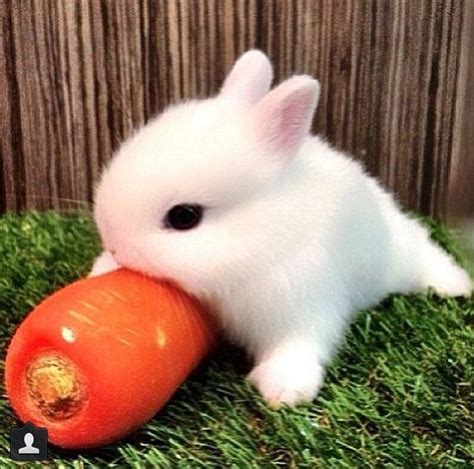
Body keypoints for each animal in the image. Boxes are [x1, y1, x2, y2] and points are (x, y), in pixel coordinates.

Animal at [90, 49, 472, 404]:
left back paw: (456, 285)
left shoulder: (302, 302)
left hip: (405, 257)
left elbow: (301, 342)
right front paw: (101, 268)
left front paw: (284, 389)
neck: (261, 237)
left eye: (185, 217)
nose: (115, 246)